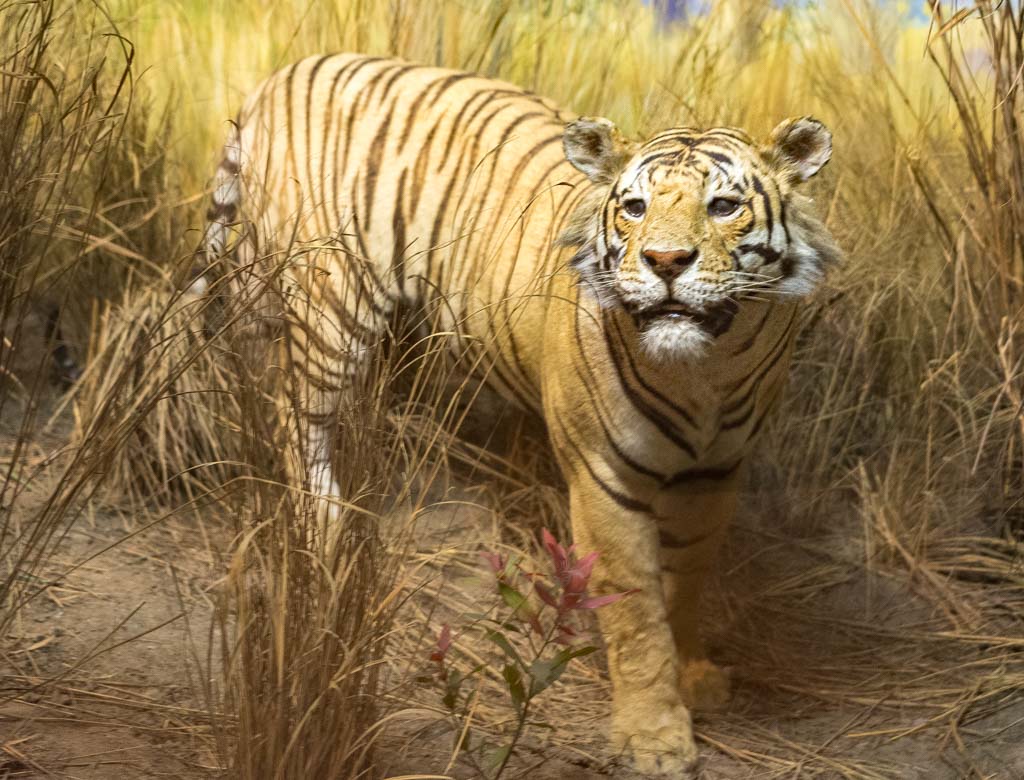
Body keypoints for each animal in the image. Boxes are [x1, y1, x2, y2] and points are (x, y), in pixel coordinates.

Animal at [192, 53, 840, 776]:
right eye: (635, 208)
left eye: (723, 206)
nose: (665, 261)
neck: (706, 370)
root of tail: (288, 69)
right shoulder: (605, 477)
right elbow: (636, 606)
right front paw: (653, 735)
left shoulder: (715, 473)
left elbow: (687, 580)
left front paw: (694, 674)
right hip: (328, 301)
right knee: (290, 410)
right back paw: (328, 524)